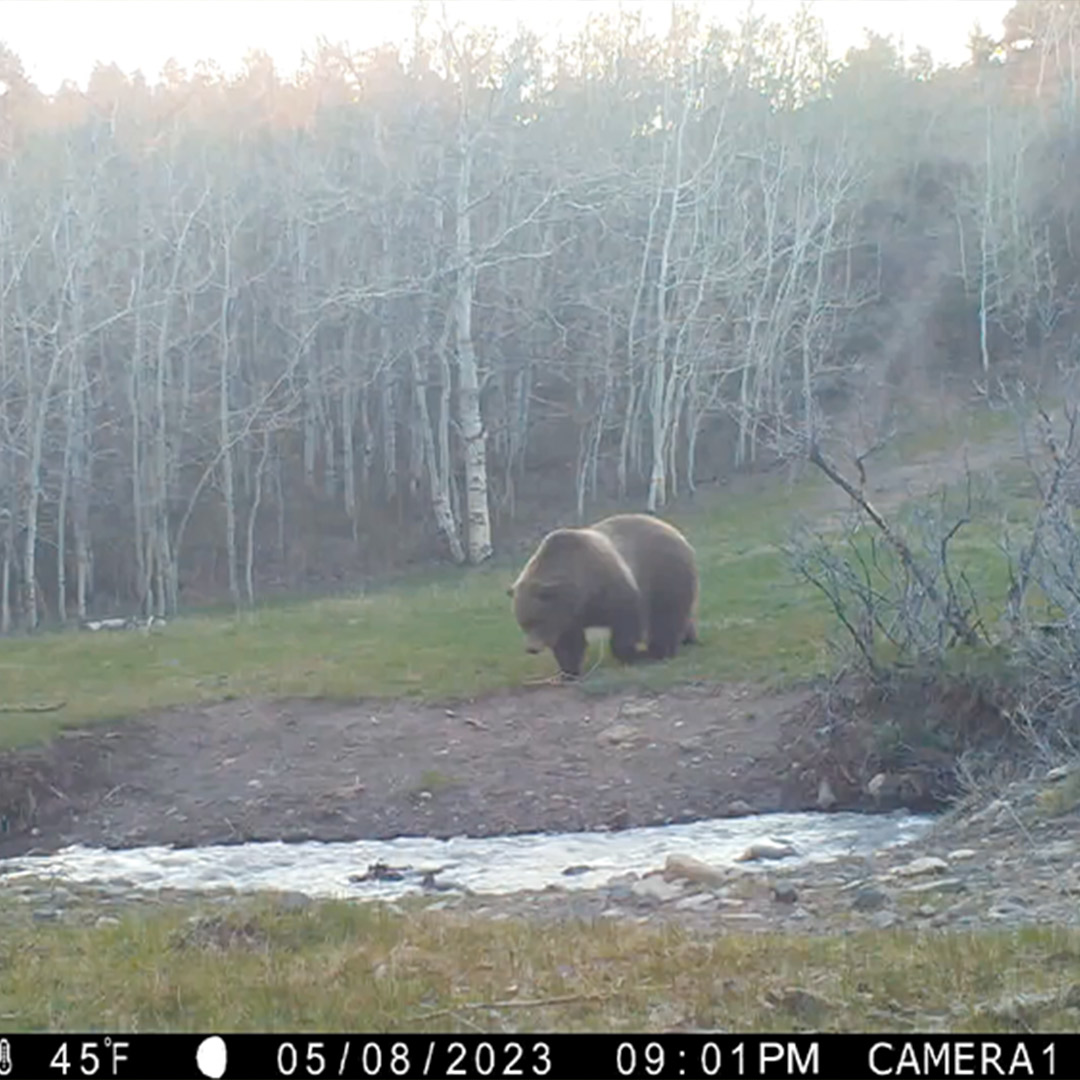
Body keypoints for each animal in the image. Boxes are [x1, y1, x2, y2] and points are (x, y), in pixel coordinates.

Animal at [508, 513, 699, 678]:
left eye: (537, 620)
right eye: (523, 623)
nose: (531, 648)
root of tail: (676, 532)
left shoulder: (608, 586)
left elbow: (626, 620)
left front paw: (633, 655)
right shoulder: (569, 616)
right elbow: (568, 642)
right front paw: (569, 671)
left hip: (665, 572)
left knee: (666, 616)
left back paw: (661, 650)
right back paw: (688, 638)